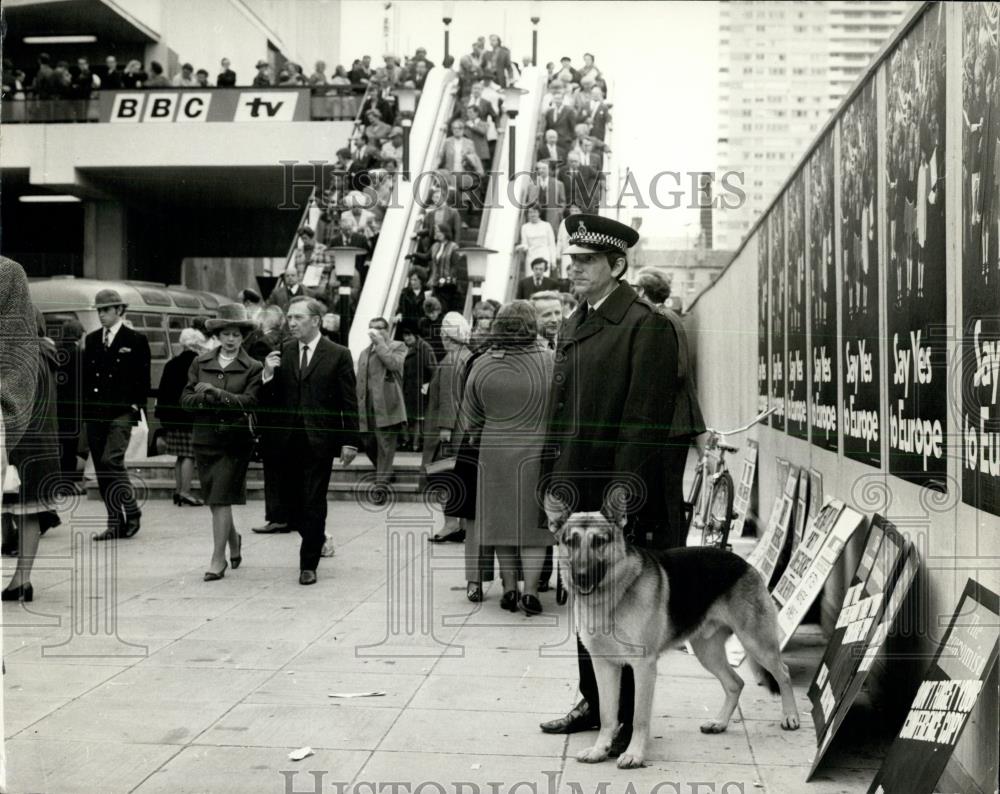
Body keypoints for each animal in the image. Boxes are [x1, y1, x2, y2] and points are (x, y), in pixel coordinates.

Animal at [544, 488, 800, 768]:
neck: (614, 596)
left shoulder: (643, 667)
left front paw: (634, 754)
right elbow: (607, 714)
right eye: (570, 542)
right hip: (707, 652)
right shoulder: (604, 665)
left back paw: (791, 717)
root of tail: (745, 563)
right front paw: (600, 749)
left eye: (599, 541)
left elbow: (639, 717)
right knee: (735, 683)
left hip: (757, 643)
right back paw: (719, 723)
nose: (580, 576)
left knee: (784, 673)